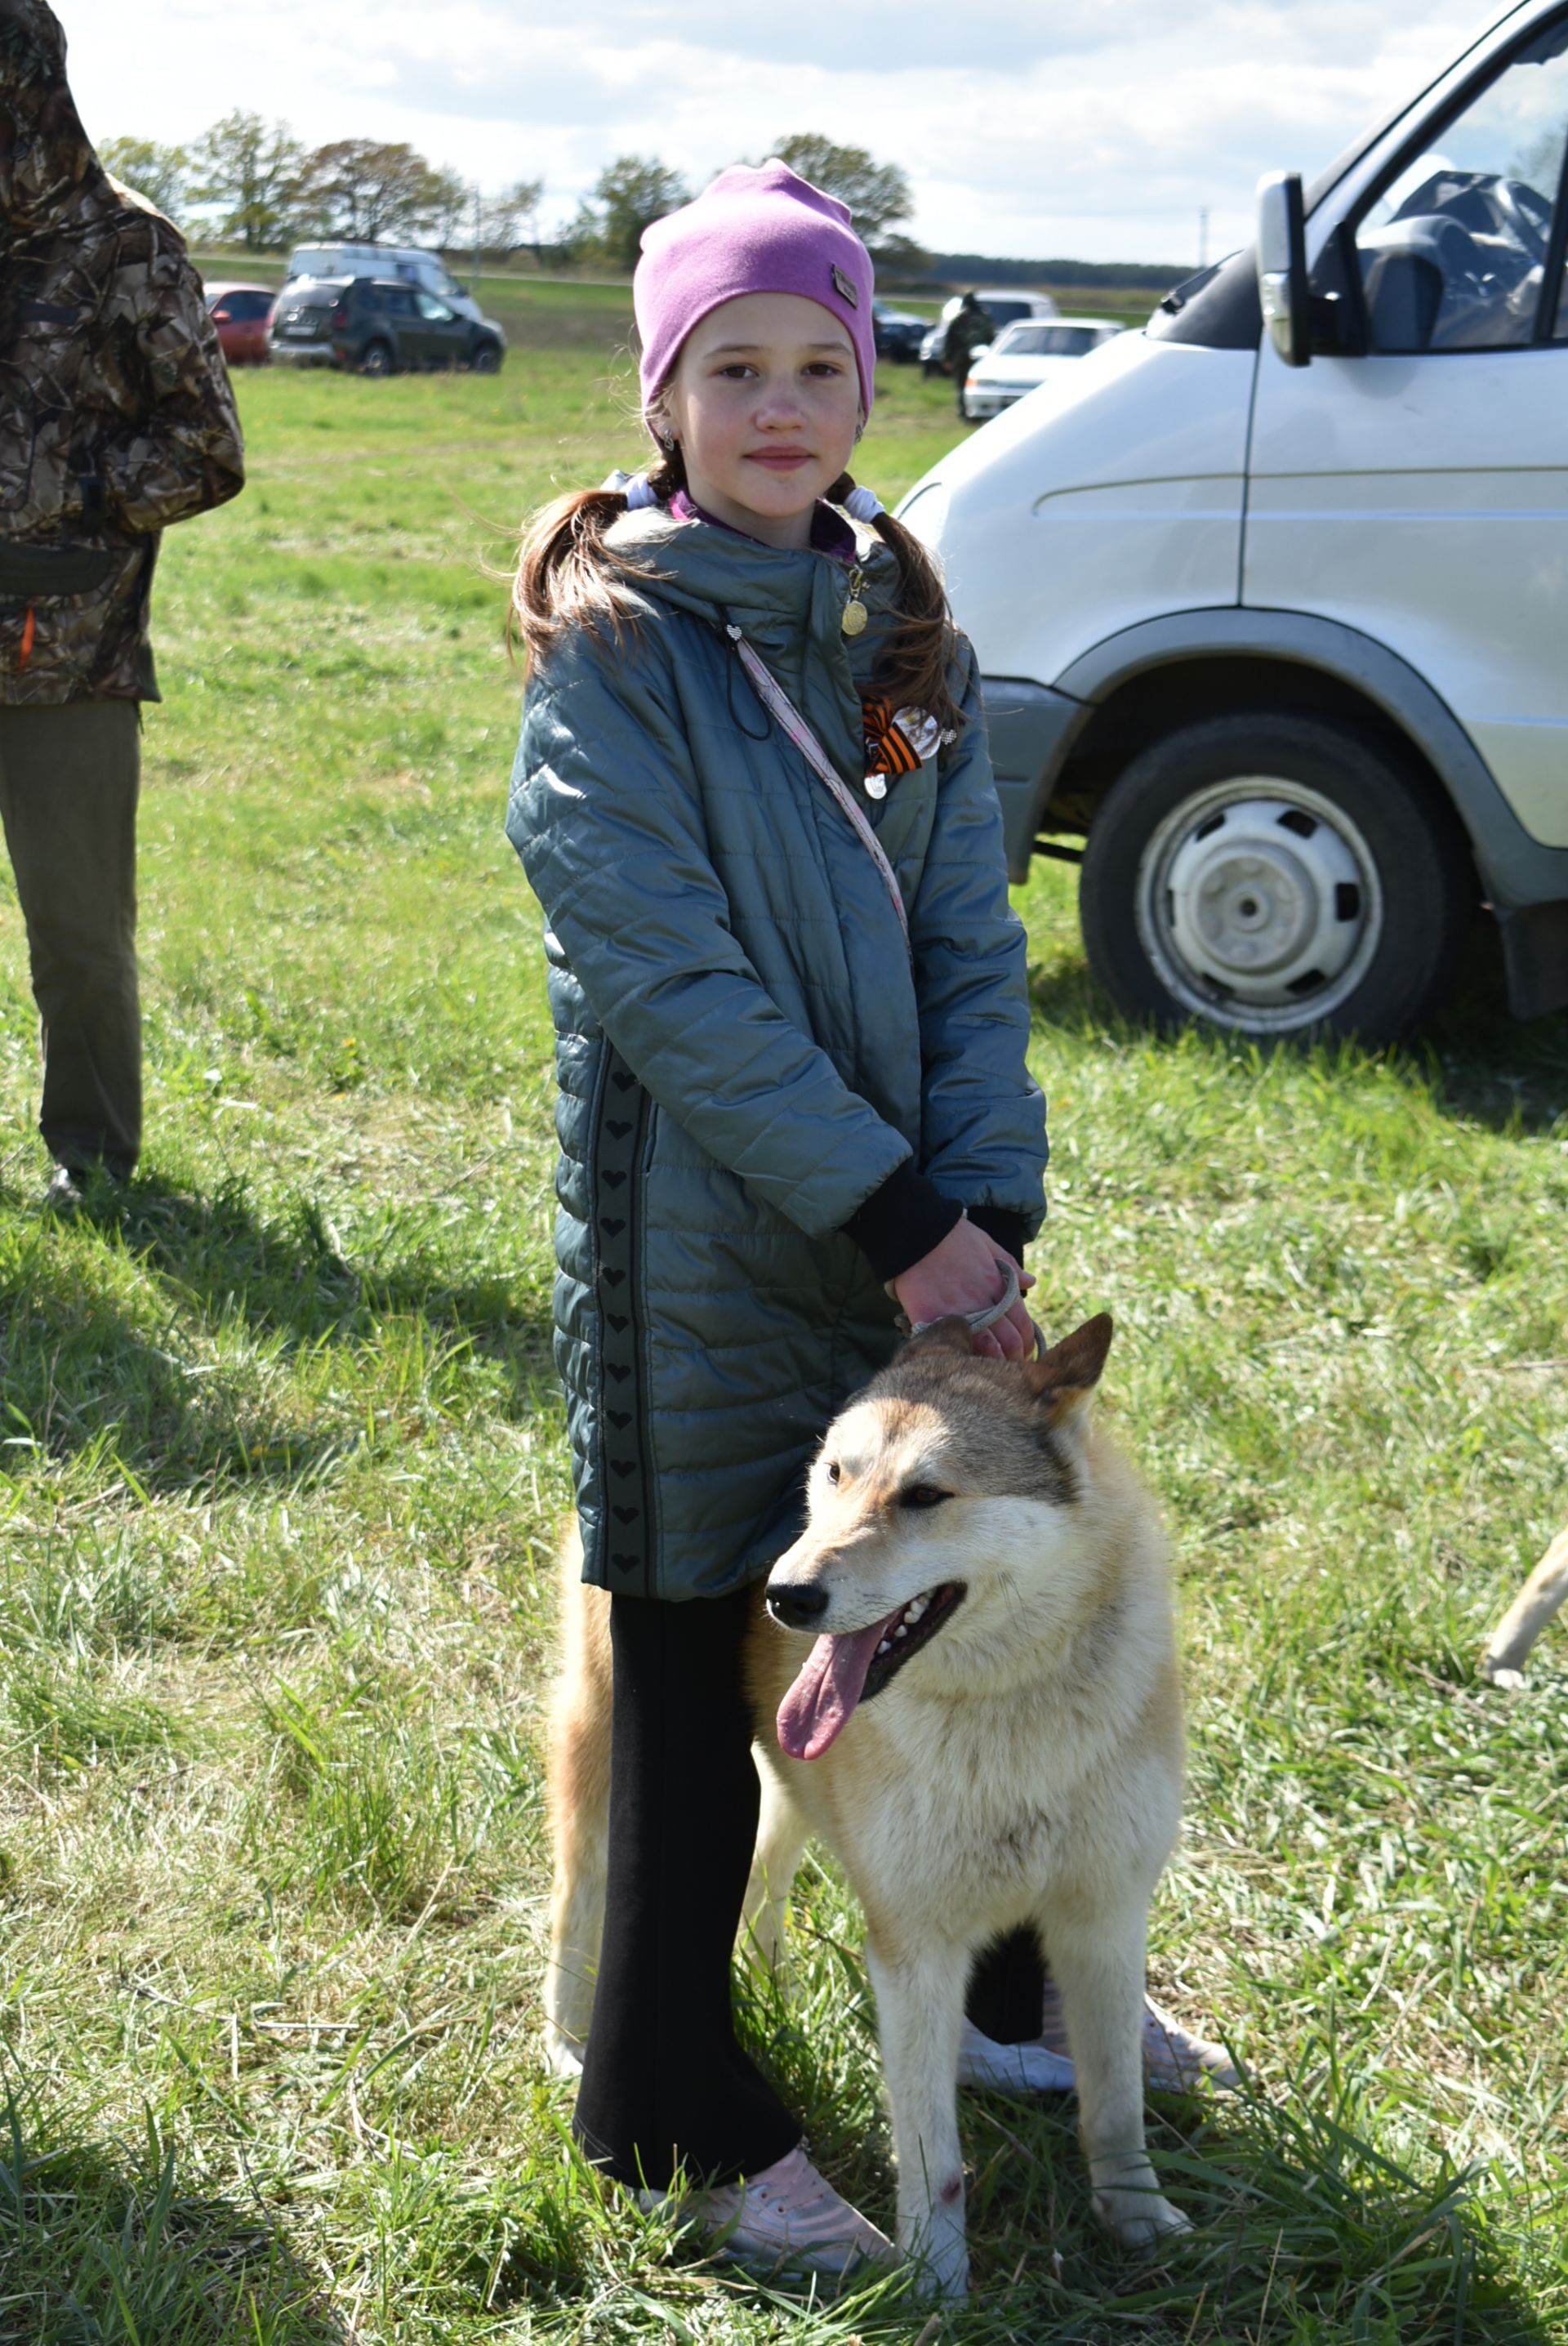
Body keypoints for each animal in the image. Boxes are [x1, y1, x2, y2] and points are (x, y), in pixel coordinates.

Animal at [548, 1313, 1186, 2299]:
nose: (785, 1595)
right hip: (606, 1767)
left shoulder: (1105, 1918)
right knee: (575, 1907)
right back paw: (570, 2051)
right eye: (836, 1475)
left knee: (762, 1881)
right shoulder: (913, 1944)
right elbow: (934, 2155)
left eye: (925, 1495)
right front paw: (938, 2287)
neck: (1012, 1709)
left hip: (793, 1787)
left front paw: (1137, 2220)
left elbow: (1115, 2104)